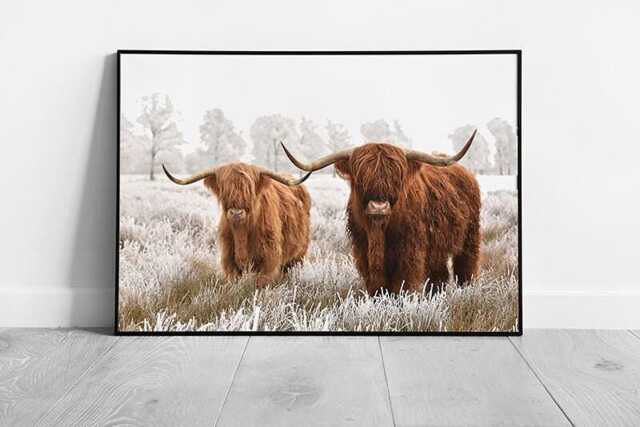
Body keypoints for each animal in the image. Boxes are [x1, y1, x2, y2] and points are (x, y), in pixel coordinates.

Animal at [162, 163, 312, 288]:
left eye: (249, 190)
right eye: (225, 191)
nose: (236, 213)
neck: (242, 233)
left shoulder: (268, 260)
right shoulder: (229, 260)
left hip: (299, 255)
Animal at [281, 130, 480, 295]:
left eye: (396, 177)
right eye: (361, 177)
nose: (378, 207)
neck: (378, 231)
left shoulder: (410, 253)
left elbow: (403, 285)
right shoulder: (363, 251)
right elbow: (376, 286)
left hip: (470, 237)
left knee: (466, 267)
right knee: (440, 274)